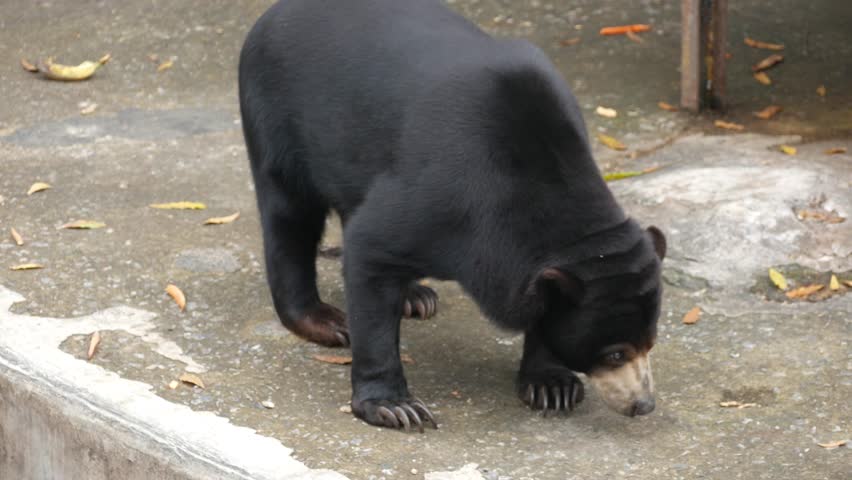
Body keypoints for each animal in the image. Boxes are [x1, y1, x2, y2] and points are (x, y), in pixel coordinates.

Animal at [239, 0, 666, 431]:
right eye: (614, 353)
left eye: (650, 342)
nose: (643, 405)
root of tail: (273, 13)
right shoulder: (442, 198)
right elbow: (370, 247)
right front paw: (394, 407)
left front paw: (552, 385)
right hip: (275, 116)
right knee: (290, 216)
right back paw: (324, 319)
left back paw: (415, 296)